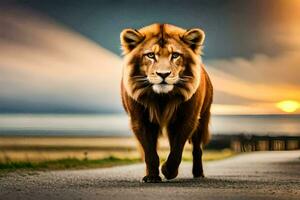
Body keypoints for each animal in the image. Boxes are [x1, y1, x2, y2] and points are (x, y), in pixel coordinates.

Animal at [120, 23, 213, 183]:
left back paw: (198, 173)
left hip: (203, 119)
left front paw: (168, 171)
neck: (162, 98)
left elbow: (177, 151)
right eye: (151, 55)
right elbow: (150, 153)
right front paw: (152, 177)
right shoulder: (140, 120)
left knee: (197, 149)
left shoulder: (187, 119)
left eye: (175, 55)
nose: (163, 74)